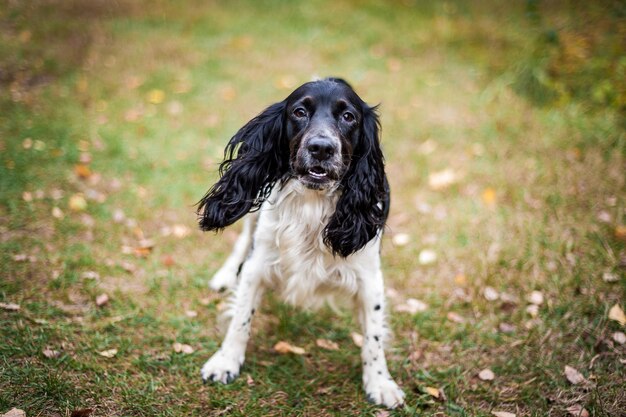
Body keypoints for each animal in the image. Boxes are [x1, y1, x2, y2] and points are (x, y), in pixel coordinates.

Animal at [197, 77, 408, 406]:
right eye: (299, 112)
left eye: (348, 117)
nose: (321, 147)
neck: (312, 203)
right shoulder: (258, 264)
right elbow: (241, 318)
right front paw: (225, 362)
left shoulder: (370, 278)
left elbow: (373, 337)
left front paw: (380, 382)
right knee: (242, 240)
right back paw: (225, 275)